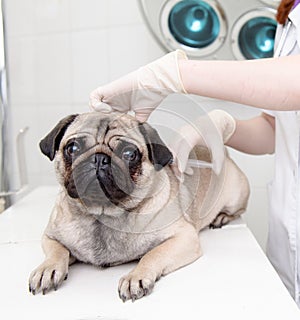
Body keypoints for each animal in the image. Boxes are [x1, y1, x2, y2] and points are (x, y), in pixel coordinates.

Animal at [28, 111, 250, 302]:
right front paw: (47, 269)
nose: (99, 158)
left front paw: (135, 277)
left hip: (236, 195)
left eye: (129, 153)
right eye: (72, 148)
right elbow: (57, 251)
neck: (102, 213)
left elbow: (152, 254)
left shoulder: (184, 238)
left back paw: (221, 217)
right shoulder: (50, 236)